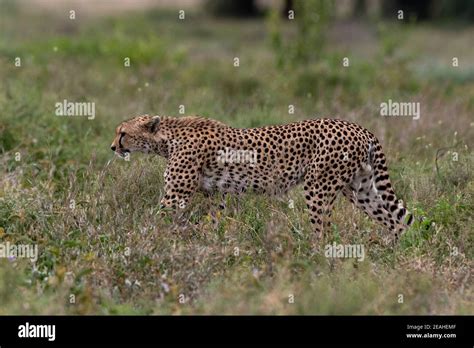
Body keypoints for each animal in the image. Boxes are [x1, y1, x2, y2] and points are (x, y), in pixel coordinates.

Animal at [110, 115, 412, 241]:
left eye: (122, 133)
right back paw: (394, 251)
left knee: (323, 231)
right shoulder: (216, 195)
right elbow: (213, 221)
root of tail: (359, 127)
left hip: (318, 187)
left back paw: (316, 260)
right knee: (395, 220)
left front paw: (137, 245)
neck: (168, 137)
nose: (113, 147)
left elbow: (154, 221)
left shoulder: (175, 197)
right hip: (360, 189)